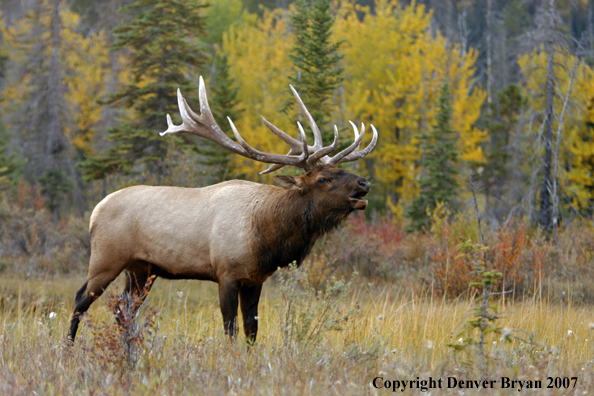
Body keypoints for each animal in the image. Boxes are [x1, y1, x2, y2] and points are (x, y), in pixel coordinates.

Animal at [68, 76, 374, 344]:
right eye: (323, 179)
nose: (364, 183)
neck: (266, 236)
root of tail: (95, 211)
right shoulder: (226, 273)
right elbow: (231, 328)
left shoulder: (254, 280)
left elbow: (251, 329)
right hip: (106, 259)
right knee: (81, 299)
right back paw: (69, 348)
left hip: (140, 269)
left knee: (124, 310)